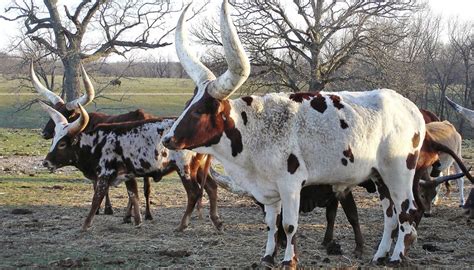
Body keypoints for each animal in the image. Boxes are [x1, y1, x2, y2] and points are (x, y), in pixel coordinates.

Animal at [164, 0, 426, 266]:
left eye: (198, 111)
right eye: (187, 105)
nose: (167, 139)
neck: (252, 130)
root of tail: (410, 108)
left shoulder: (290, 184)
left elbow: (289, 225)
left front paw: (289, 260)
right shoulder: (269, 191)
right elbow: (272, 225)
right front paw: (268, 257)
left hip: (399, 172)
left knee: (407, 212)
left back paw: (396, 257)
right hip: (379, 176)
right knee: (390, 215)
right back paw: (380, 255)